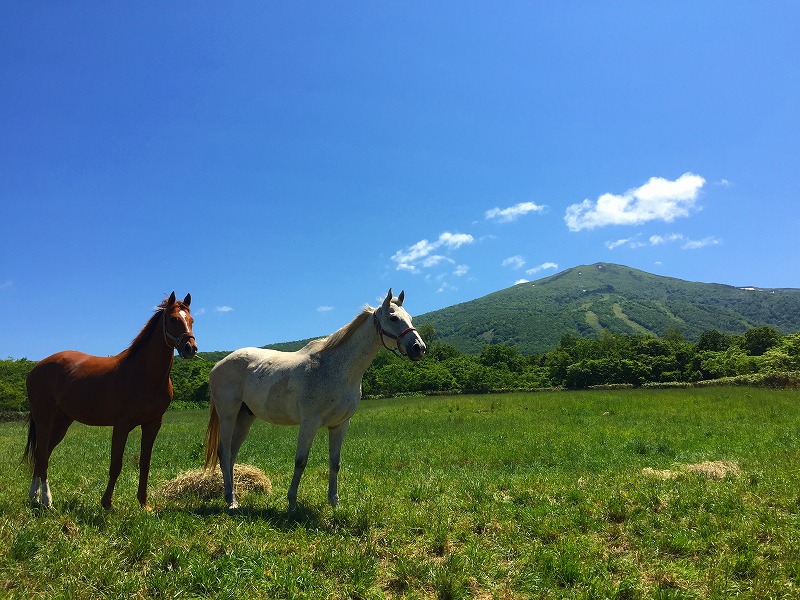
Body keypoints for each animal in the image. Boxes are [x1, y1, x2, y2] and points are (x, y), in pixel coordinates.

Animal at [22, 292, 198, 508]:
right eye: (173, 319)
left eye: (191, 320)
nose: (190, 348)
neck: (144, 373)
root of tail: (36, 368)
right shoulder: (121, 425)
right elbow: (116, 464)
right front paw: (107, 503)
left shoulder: (152, 424)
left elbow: (145, 463)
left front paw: (143, 504)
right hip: (44, 418)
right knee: (41, 454)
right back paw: (44, 499)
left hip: (62, 421)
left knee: (43, 454)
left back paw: (37, 497)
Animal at [205, 290, 424, 510]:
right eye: (393, 318)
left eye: (410, 318)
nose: (419, 348)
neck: (336, 369)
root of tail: (218, 365)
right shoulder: (309, 423)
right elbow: (300, 462)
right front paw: (292, 503)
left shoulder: (340, 425)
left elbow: (335, 463)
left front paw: (334, 502)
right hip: (228, 416)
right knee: (224, 452)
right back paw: (231, 501)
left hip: (245, 418)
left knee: (232, 454)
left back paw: (232, 496)